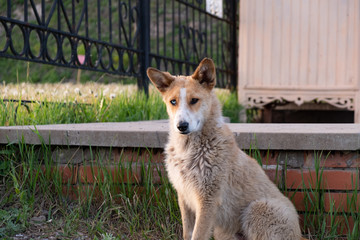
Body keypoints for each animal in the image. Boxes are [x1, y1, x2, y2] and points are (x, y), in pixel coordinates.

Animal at [146, 58, 304, 240]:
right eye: (173, 101)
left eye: (194, 100)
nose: (181, 126)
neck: (188, 149)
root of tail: (299, 235)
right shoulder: (184, 196)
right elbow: (188, 234)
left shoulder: (207, 200)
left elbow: (198, 235)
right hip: (224, 232)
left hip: (256, 209)